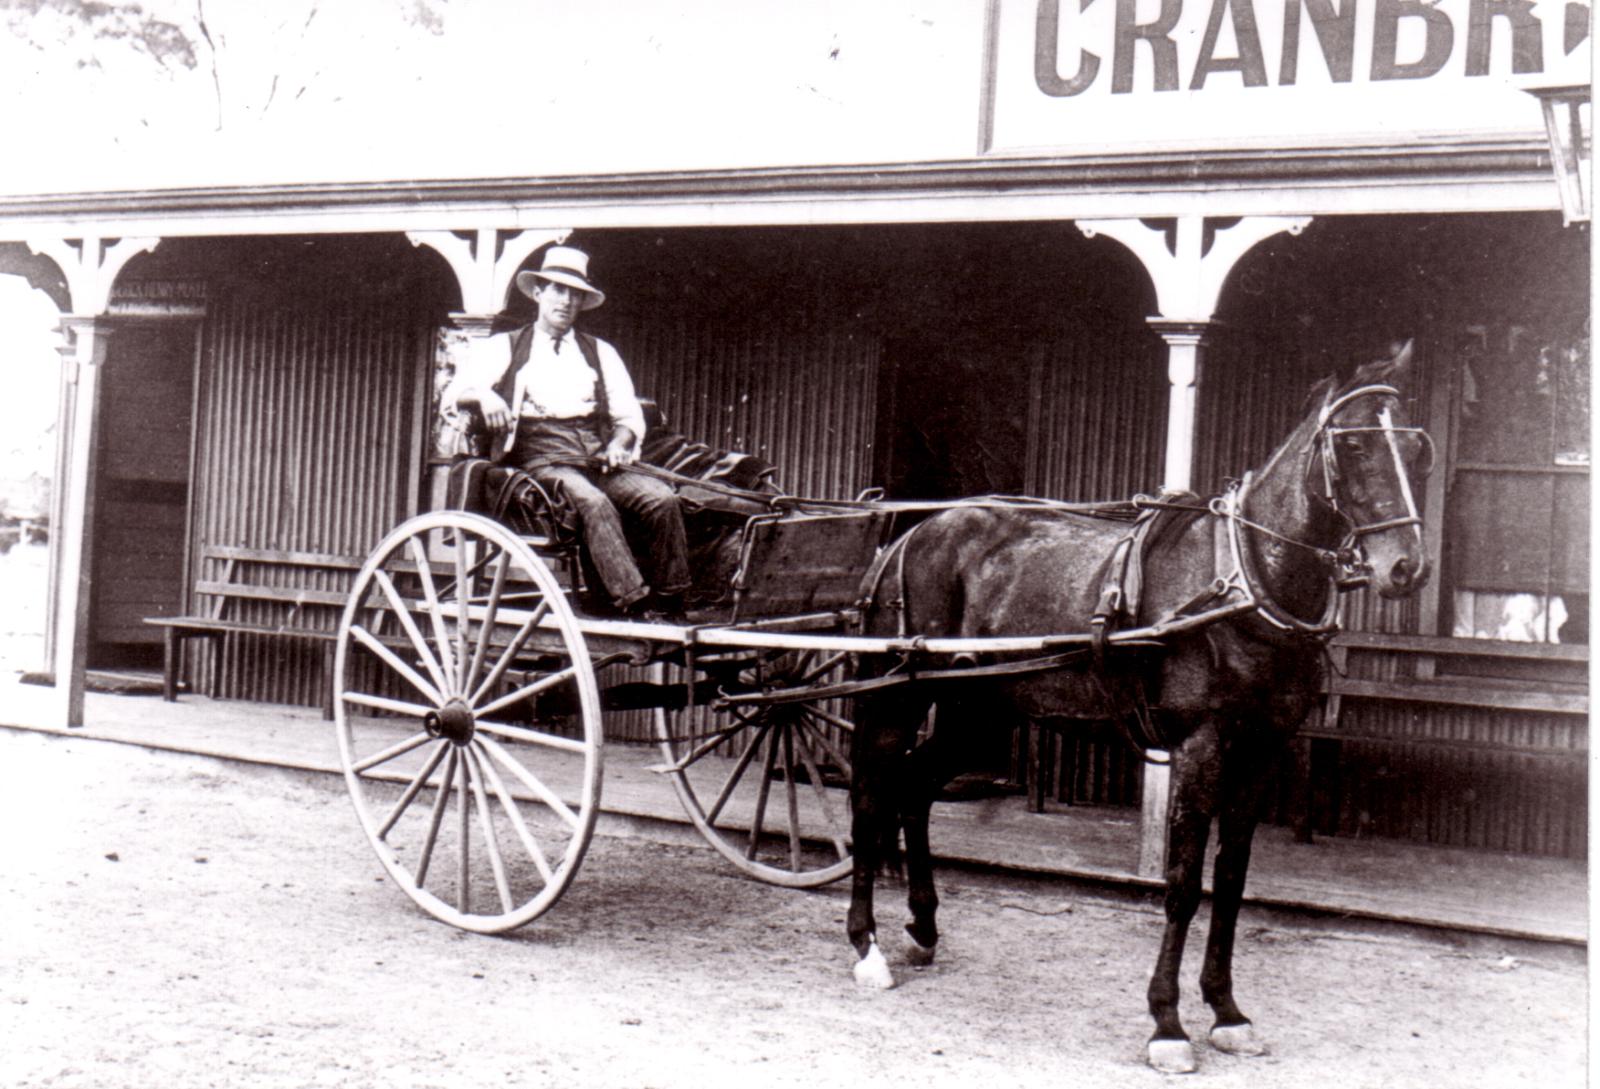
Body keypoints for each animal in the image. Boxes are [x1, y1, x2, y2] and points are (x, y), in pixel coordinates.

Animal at [844, 345, 1433, 1068]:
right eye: (1352, 445)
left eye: (1418, 448)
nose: (1406, 568)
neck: (1246, 579)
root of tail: (909, 535)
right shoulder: (1200, 746)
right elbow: (1181, 883)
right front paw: (1168, 1023)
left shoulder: (1260, 749)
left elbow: (1230, 879)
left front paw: (1227, 1010)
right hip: (898, 697)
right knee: (871, 797)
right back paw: (867, 945)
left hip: (976, 709)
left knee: (917, 787)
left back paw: (924, 925)